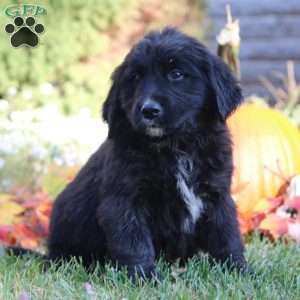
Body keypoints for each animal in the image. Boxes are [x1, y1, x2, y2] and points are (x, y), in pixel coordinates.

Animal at [48, 27, 246, 278]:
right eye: (135, 78)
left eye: (176, 74)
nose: (149, 110)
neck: (177, 146)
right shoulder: (124, 201)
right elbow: (134, 244)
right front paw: (145, 278)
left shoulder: (218, 195)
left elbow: (227, 236)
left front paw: (239, 271)